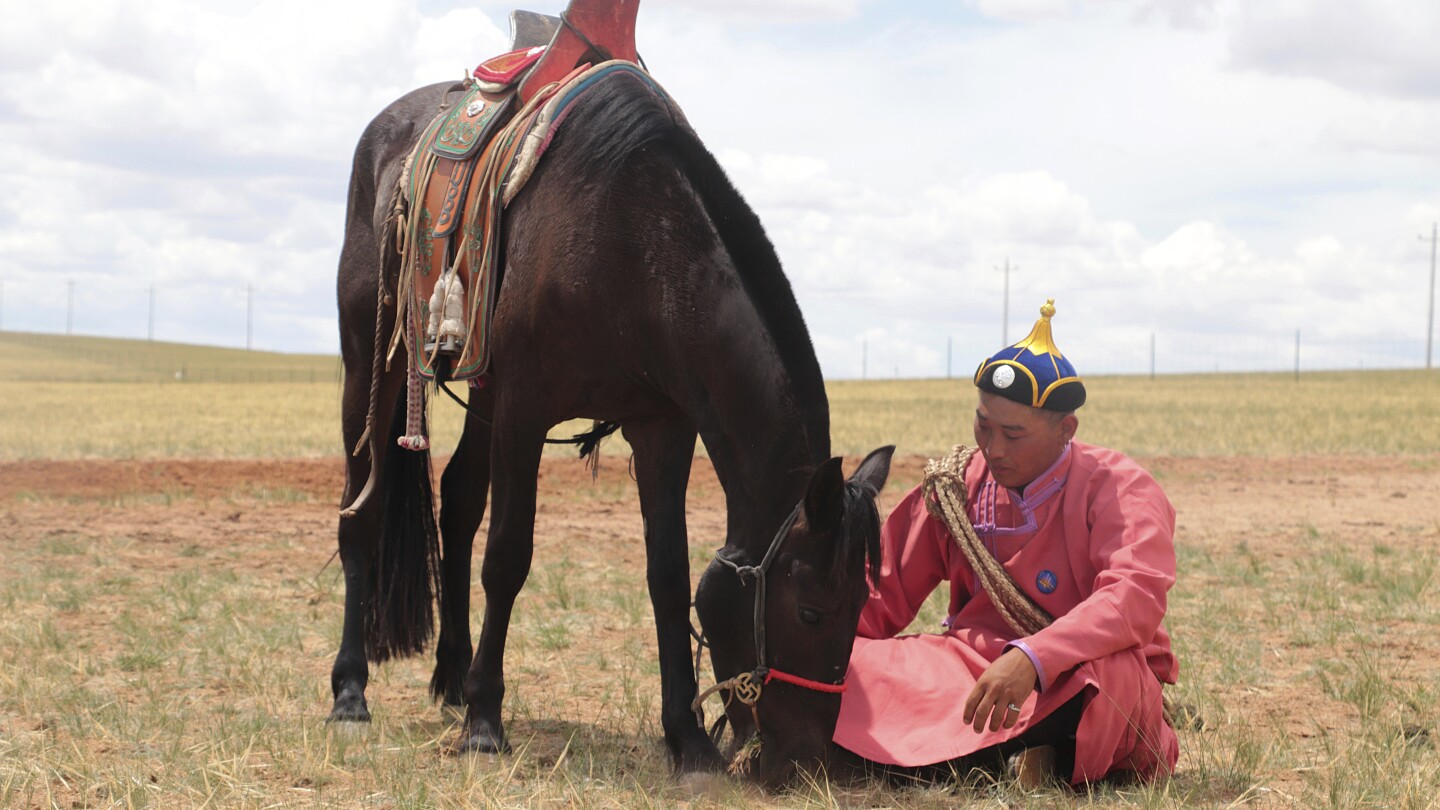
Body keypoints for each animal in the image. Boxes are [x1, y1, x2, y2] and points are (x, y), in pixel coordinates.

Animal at [329, 61, 887, 778]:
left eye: (860, 610)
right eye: (813, 612)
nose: (809, 761)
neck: (635, 243)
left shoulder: (662, 425)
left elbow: (668, 574)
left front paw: (689, 739)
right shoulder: (525, 408)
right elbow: (508, 557)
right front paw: (485, 723)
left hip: (480, 392)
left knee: (458, 501)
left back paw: (452, 676)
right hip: (371, 365)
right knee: (361, 513)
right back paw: (351, 691)